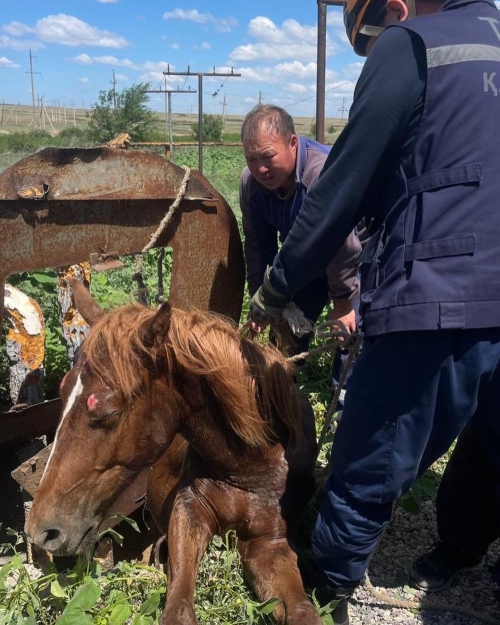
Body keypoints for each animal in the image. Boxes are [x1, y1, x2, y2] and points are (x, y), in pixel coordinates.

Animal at [25, 282, 320, 624]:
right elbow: (178, 606)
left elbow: (302, 610)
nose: (41, 531)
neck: (250, 466)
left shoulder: (271, 542)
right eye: (61, 393)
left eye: (109, 413)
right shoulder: (188, 512)